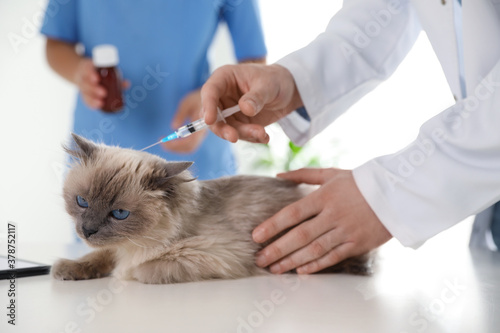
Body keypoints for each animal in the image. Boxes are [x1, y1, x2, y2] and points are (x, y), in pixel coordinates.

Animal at [51, 134, 372, 284]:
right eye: (82, 202)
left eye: (119, 214)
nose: (87, 230)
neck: (133, 245)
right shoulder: (114, 247)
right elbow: (97, 256)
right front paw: (67, 269)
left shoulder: (220, 253)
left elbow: (143, 269)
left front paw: (127, 272)